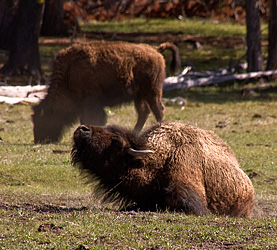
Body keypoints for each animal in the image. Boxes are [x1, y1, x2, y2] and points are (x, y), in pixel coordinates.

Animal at [32, 40, 180, 143]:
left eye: (43, 119)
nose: (39, 140)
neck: (70, 72)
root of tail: (155, 50)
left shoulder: (90, 102)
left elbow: (91, 118)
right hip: (139, 96)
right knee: (144, 112)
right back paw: (135, 133)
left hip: (152, 92)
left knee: (158, 110)